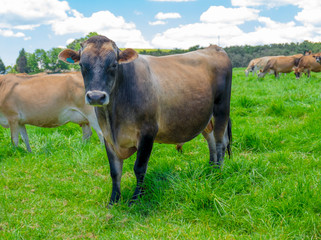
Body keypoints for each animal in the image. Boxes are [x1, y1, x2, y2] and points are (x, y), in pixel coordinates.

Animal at [58, 34, 231, 206]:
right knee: (210, 138)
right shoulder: (107, 136)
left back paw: (218, 173)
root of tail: (215, 47)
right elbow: (114, 171)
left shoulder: (148, 132)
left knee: (220, 141)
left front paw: (136, 199)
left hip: (221, 108)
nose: (95, 96)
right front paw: (114, 200)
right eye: (82, 64)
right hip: (204, 116)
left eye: (113, 64)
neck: (113, 118)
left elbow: (139, 168)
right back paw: (210, 169)